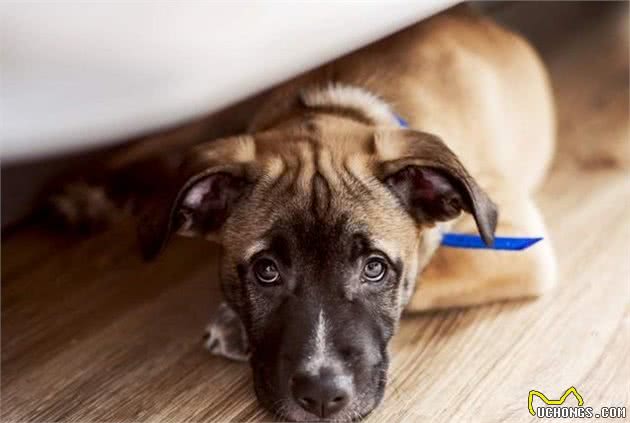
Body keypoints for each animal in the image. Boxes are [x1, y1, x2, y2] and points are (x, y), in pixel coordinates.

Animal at [54, 4, 556, 422]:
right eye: (266, 271)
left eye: (375, 268)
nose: (321, 397)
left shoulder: (514, 242)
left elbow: (424, 278)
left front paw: (230, 325)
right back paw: (83, 194)